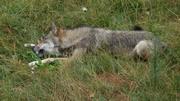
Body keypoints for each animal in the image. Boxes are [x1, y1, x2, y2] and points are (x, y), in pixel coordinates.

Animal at [27, 22, 166, 66]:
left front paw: (33, 63)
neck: (77, 39)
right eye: (39, 40)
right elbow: (51, 57)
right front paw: (29, 45)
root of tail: (163, 43)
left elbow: (50, 59)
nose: (33, 49)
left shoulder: (74, 60)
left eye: (43, 39)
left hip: (140, 47)